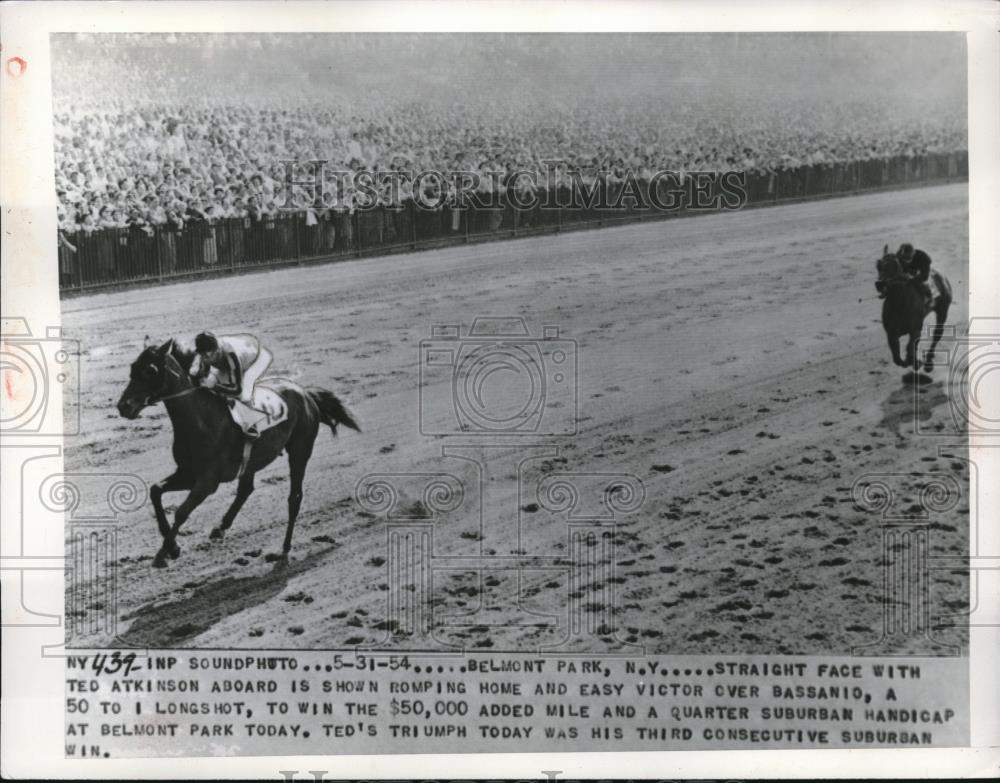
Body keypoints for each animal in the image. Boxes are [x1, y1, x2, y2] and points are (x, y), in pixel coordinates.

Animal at [117, 340, 360, 568]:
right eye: (132, 368)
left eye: (151, 370)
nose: (123, 406)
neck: (201, 421)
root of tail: (305, 393)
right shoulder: (188, 473)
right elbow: (156, 490)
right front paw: (173, 547)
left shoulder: (207, 482)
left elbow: (182, 511)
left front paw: (164, 552)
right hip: (252, 461)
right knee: (246, 489)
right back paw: (221, 527)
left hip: (300, 451)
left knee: (294, 498)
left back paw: (284, 549)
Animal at [876, 247, 952, 376]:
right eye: (879, 265)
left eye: (895, 265)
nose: (879, 284)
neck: (900, 305)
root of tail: (941, 276)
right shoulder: (891, 334)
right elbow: (897, 358)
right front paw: (910, 361)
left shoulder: (915, 329)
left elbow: (910, 346)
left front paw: (916, 361)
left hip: (943, 309)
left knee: (937, 333)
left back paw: (928, 362)